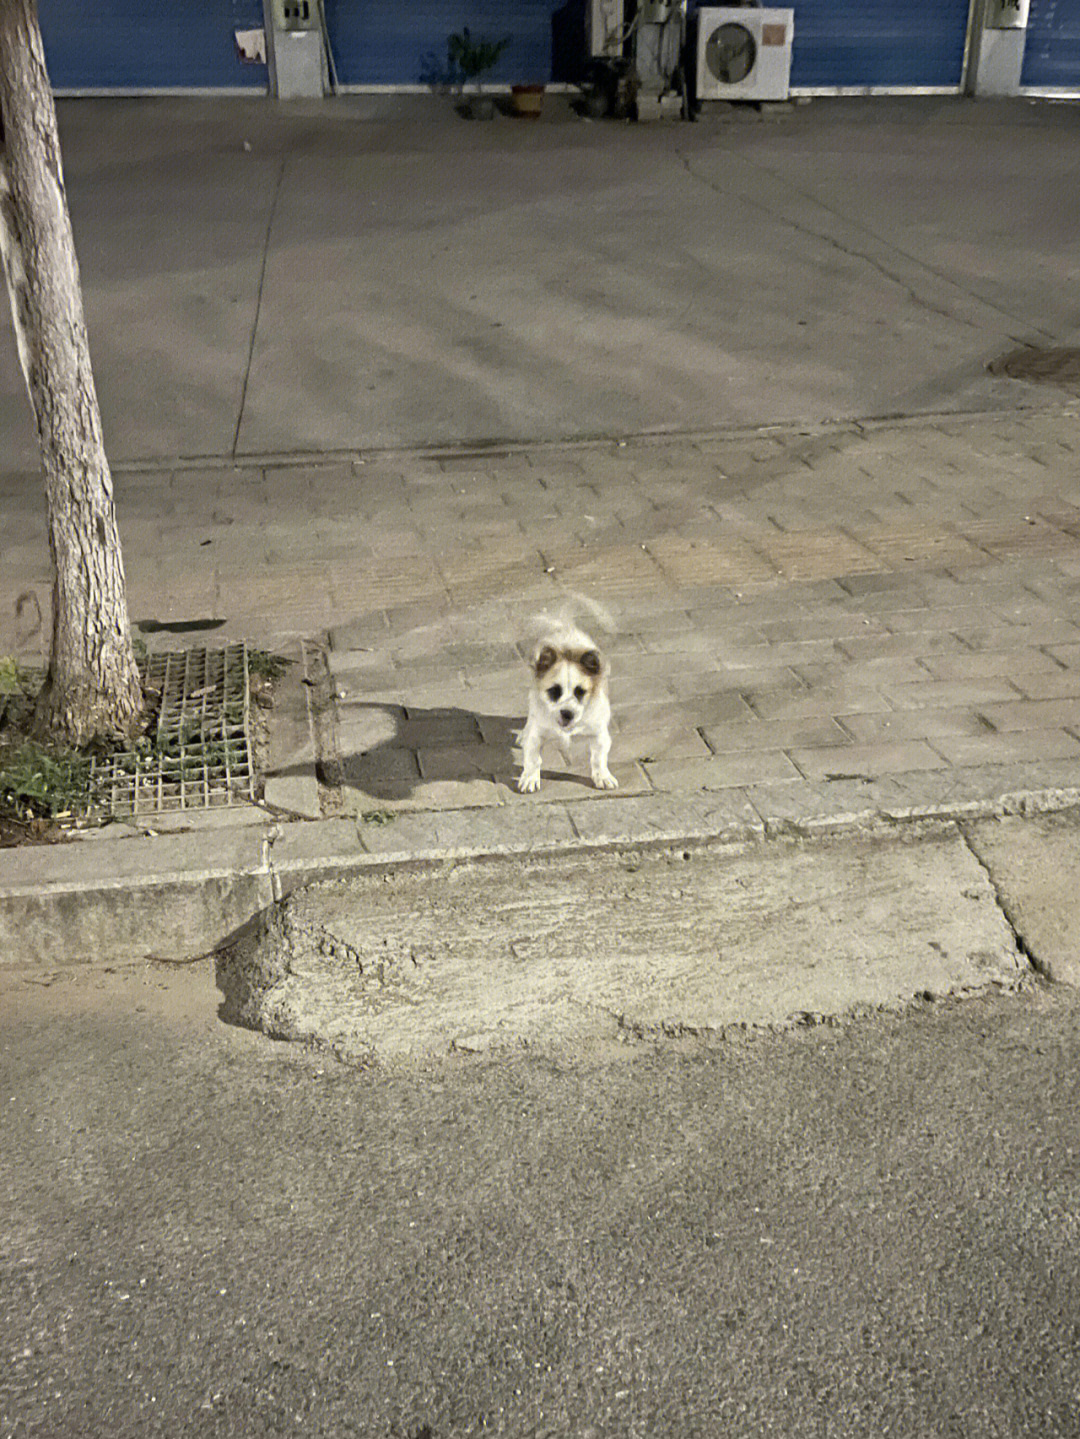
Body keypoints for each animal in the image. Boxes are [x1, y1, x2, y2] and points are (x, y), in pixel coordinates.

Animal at [517, 601, 615, 794]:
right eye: (554, 691)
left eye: (580, 692)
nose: (567, 713)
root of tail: (565, 628)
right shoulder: (537, 734)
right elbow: (533, 759)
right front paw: (530, 778)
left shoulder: (599, 734)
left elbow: (598, 758)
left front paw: (602, 776)